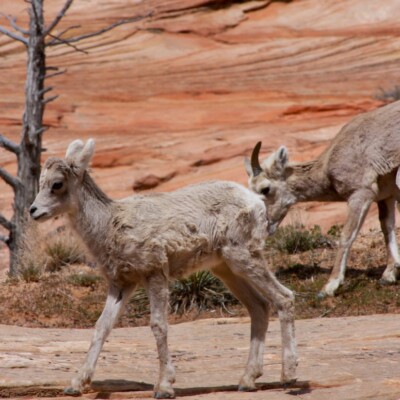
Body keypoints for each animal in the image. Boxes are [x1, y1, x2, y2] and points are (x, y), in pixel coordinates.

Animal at [29, 139, 296, 398]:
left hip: (244, 257)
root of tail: (256, 202)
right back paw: (247, 380)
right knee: (260, 307)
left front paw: (164, 387)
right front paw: (75, 385)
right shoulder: (121, 284)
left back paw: (289, 376)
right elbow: (102, 327)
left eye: (57, 184)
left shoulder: (155, 273)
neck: (109, 225)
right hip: (226, 269)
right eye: (40, 183)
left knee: (284, 297)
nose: (33, 211)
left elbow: (158, 325)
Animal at [245, 101, 400, 298]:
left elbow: (346, 236)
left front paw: (328, 288)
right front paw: (388, 276)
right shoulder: (386, 196)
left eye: (265, 189)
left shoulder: (360, 194)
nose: (265, 226)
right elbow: (387, 227)